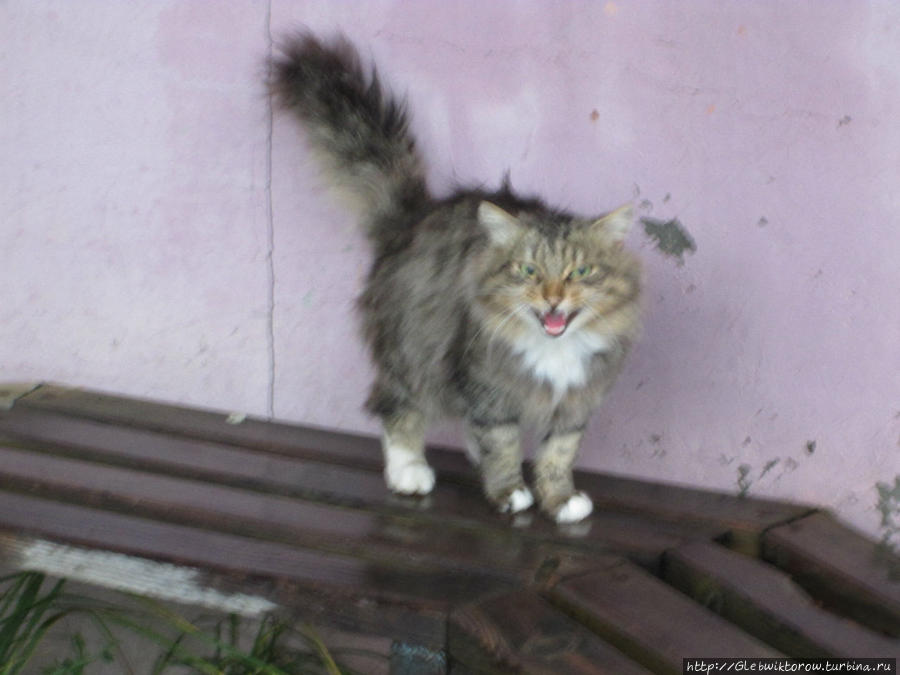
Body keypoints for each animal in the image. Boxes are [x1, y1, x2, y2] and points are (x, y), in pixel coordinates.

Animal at [270, 34, 644, 524]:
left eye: (579, 272)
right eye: (528, 271)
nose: (552, 299)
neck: (554, 349)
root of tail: (413, 219)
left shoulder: (576, 403)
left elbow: (558, 455)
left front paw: (560, 500)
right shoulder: (486, 384)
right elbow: (502, 444)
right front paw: (509, 493)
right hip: (414, 352)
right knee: (394, 407)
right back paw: (409, 471)